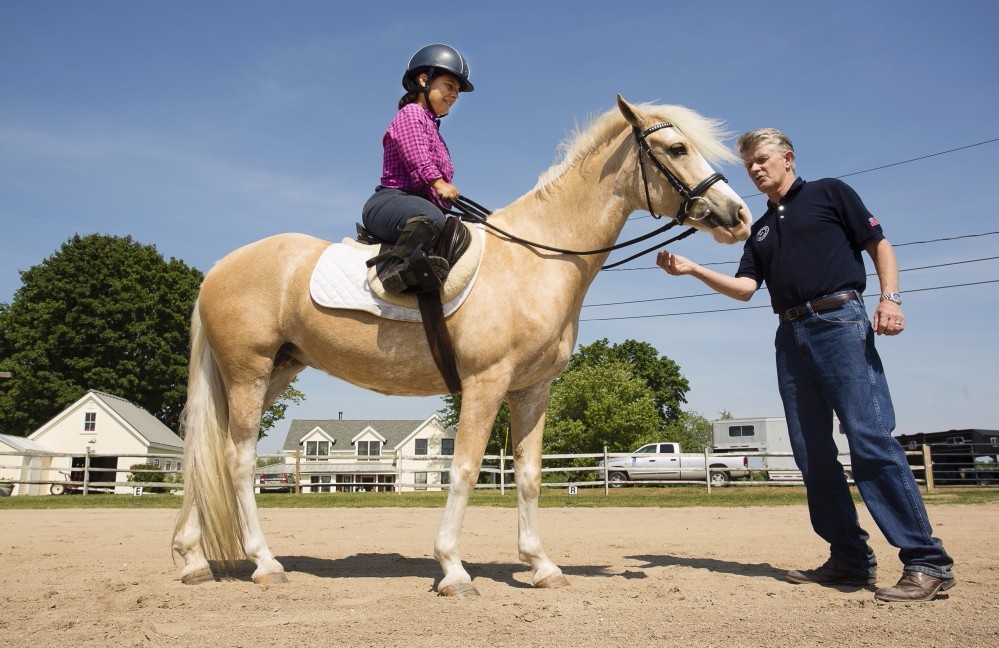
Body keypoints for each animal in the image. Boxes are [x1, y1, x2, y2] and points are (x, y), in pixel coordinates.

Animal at [174, 95, 752, 596]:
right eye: (676, 148)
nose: (739, 216)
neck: (536, 259)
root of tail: (219, 268)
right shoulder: (484, 383)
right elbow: (466, 469)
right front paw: (452, 568)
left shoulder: (532, 390)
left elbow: (529, 475)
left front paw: (541, 565)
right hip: (248, 373)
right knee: (238, 459)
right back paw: (264, 563)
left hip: (273, 373)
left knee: (204, 452)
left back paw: (193, 559)